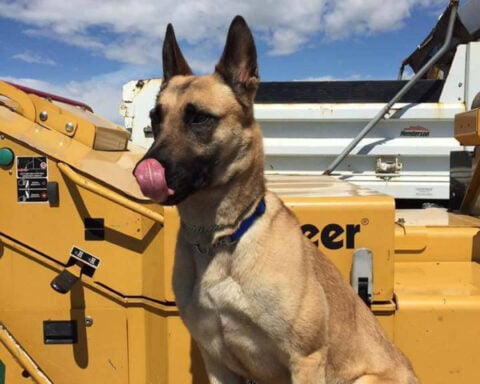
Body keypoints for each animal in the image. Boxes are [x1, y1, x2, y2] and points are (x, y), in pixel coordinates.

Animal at [133, 15, 418, 384]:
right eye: (155, 118)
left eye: (199, 118)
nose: (143, 170)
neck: (221, 239)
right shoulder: (218, 363)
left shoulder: (306, 359)